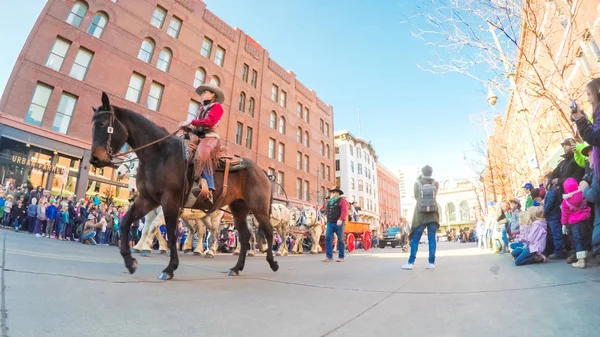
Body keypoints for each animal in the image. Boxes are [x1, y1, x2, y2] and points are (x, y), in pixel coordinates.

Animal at [89, 91, 278, 278]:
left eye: (103, 123)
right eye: (93, 126)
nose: (95, 159)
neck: (159, 154)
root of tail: (262, 171)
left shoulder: (169, 202)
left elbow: (170, 233)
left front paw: (169, 268)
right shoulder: (148, 200)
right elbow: (127, 222)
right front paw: (130, 261)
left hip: (258, 208)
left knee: (266, 232)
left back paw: (272, 262)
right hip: (238, 208)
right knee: (244, 236)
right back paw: (235, 267)